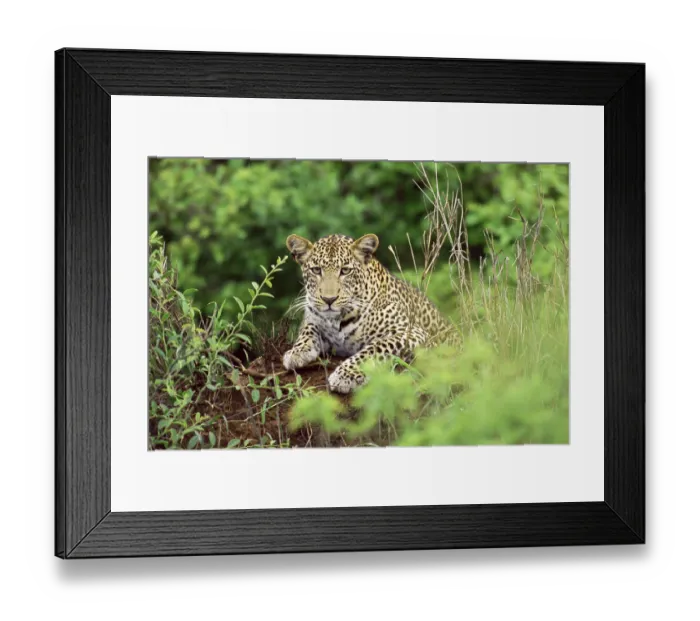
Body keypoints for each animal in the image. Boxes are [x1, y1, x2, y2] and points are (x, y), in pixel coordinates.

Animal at [281, 233, 460, 394]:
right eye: (316, 270)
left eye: (345, 271)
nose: (329, 299)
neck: (338, 320)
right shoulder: (312, 317)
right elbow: (308, 329)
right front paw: (297, 352)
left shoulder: (413, 332)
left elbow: (375, 348)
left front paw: (345, 375)